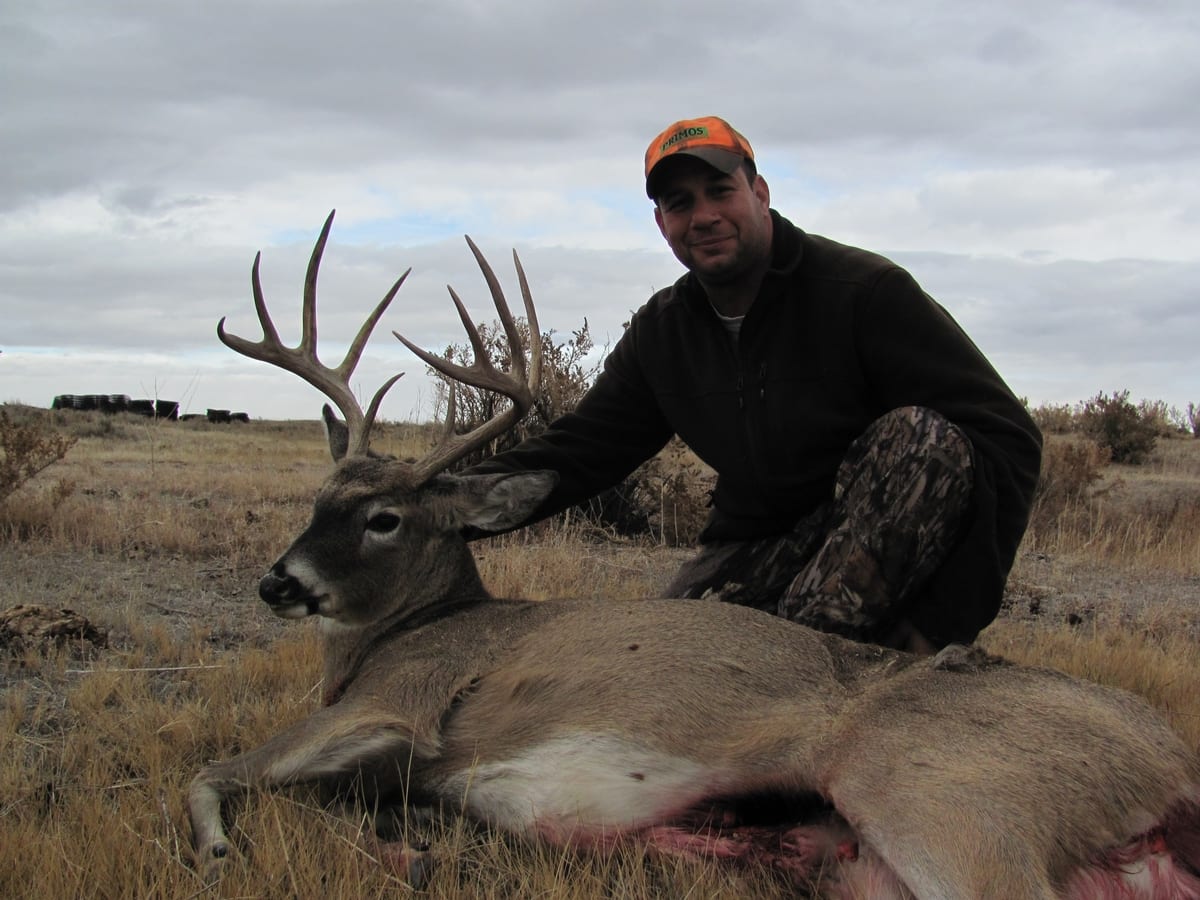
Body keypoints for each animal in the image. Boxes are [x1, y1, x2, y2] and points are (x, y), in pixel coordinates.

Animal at [189, 210, 1200, 899]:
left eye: (385, 519)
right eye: (318, 501)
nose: (279, 582)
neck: (406, 631)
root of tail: (1173, 761)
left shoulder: (397, 706)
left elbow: (216, 768)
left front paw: (218, 847)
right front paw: (414, 854)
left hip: (941, 804)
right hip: (878, 865)